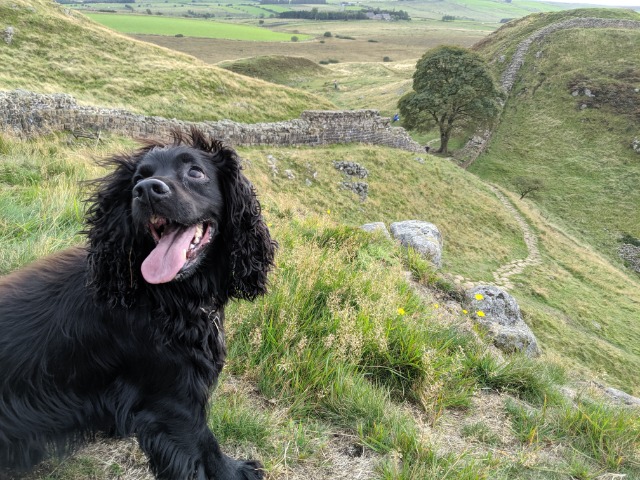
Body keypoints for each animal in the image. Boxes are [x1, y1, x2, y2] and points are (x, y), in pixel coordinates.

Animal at [0, 128, 276, 480]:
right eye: (137, 179)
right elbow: (204, 445)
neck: (166, 296)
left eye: (195, 172)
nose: (146, 190)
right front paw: (233, 471)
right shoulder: (173, 401)